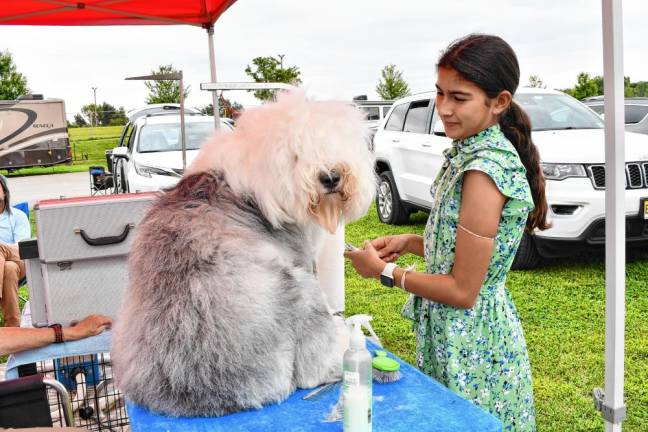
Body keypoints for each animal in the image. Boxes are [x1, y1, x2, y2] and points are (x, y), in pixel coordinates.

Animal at [110, 92, 374, 418]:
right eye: (295, 156)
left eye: (331, 144)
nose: (331, 177)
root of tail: (194, 382)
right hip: (302, 289)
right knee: (313, 371)